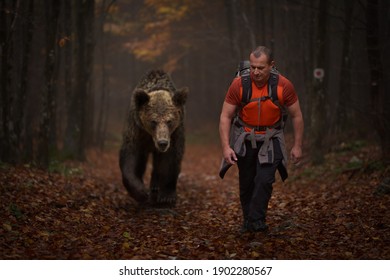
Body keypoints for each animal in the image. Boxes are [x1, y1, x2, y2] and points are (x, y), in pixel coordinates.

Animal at [119, 70, 188, 206]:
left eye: (169, 121)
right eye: (153, 121)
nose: (162, 143)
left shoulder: (175, 134)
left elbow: (170, 160)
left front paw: (167, 196)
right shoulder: (137, 131)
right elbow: (131, 157)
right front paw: (140, 192)